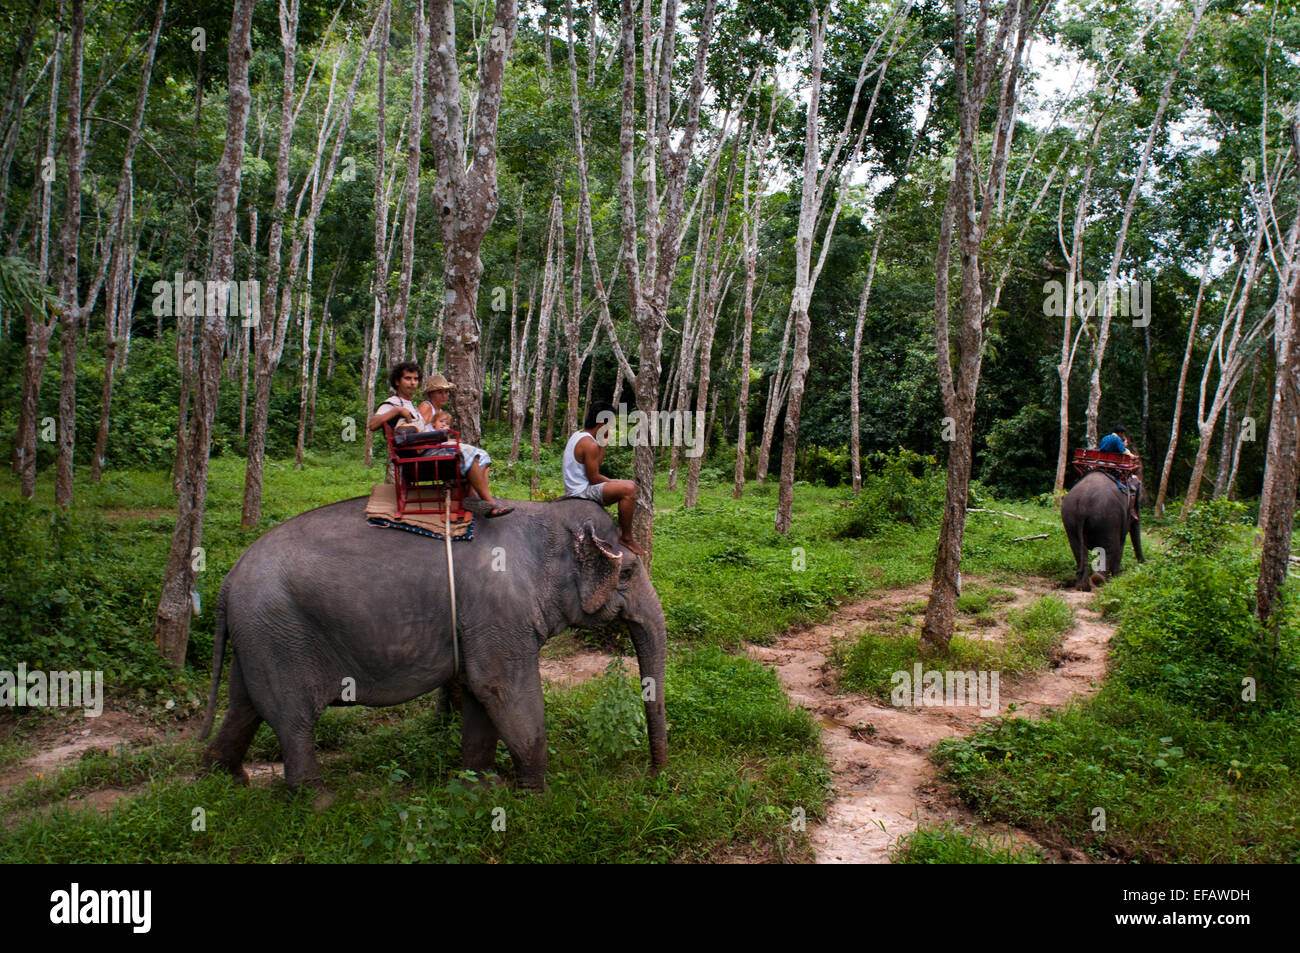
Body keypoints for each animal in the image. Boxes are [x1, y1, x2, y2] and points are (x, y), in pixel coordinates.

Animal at [202, 499, 670, 800]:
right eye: (628, 572)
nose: (651, 778)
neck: (545, 514)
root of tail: (228, 580)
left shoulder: (481, 624)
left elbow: (481, 696)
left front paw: (481, 788)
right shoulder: (498, 613)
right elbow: (503, 689)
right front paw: (539, 800)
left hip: (259, 636)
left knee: (244, 707)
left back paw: (225, 782)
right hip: (280, 635)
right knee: (293, 719)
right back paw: (319, 803)